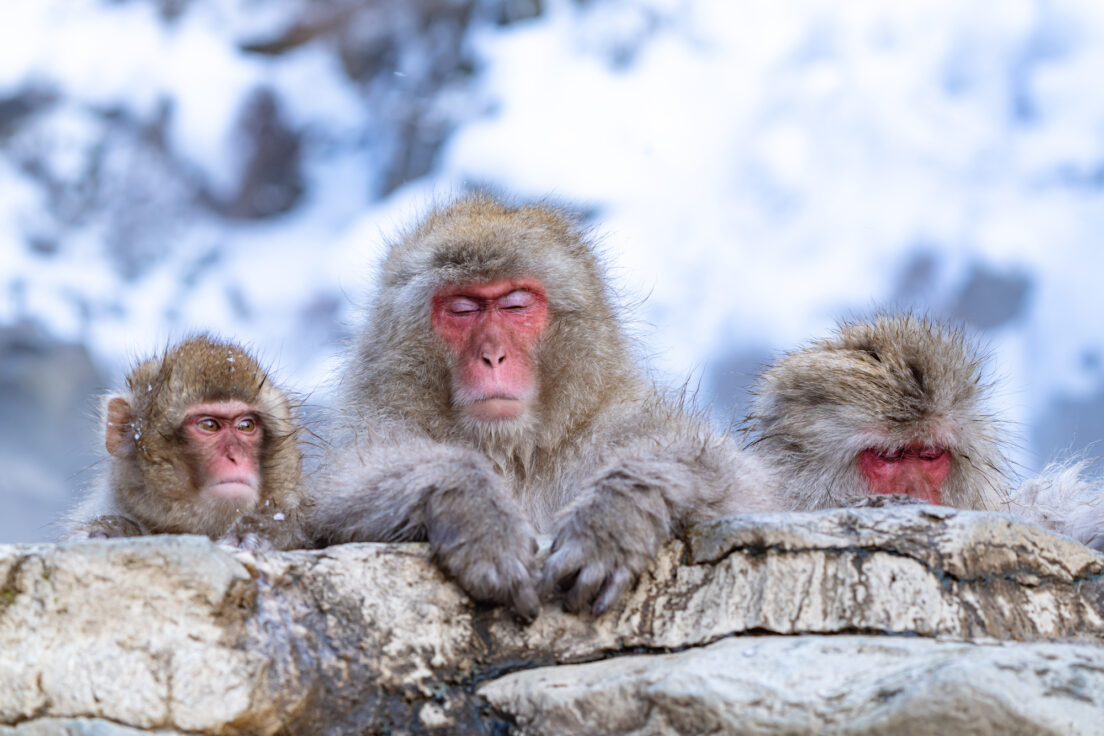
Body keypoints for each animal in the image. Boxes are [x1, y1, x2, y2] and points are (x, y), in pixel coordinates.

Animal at [306, 194, 781, 622]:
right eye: (462, 309)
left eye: (516, 304)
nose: (492, 356)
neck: (515, 453)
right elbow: (332, 497)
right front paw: (472, 506)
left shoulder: (613, 422)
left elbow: (741, 484)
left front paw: (613, 514)